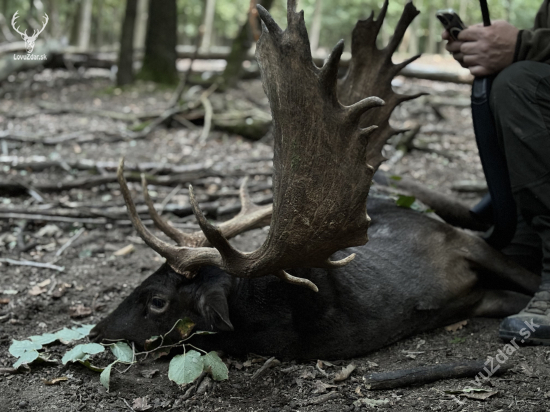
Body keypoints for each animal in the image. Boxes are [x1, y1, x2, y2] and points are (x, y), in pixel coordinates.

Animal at [88, 0, 540, 358]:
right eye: (145, 280)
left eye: (157, 301)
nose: (96, 330)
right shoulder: (477, 296)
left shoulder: (459, 239)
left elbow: (530, 278)